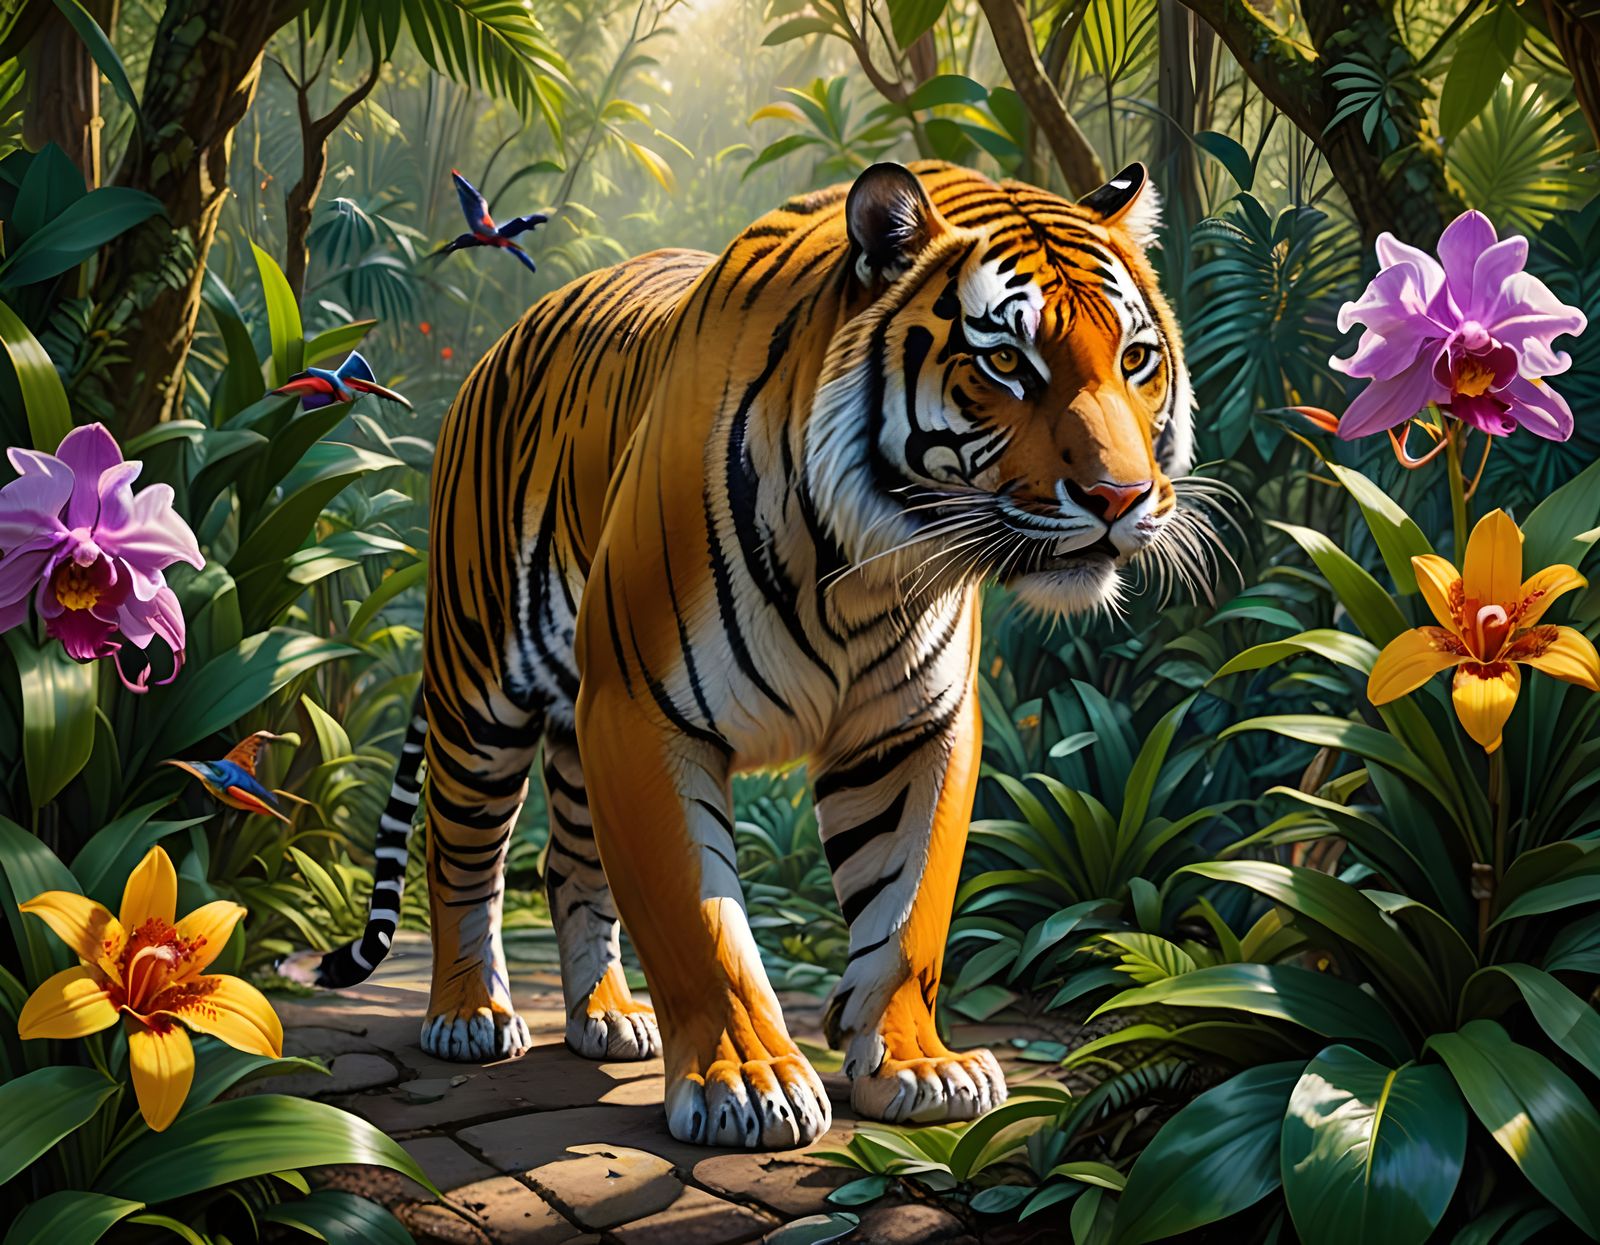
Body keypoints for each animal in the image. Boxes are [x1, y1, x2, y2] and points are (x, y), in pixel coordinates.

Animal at [305, 159, 1196, 1149]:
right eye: (1005, 362)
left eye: (1136, 360)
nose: (1120, 497)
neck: (866, 567)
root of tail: (501, 345)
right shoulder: (642, 713)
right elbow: (701, 923)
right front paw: (751, 1080)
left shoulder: (910, 729)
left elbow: (909, 911)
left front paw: (918, 1065)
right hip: (480, 692)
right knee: (461, 850)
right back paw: (468, 1013)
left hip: (577, 719)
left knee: (567, 861)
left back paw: (607, 1016)